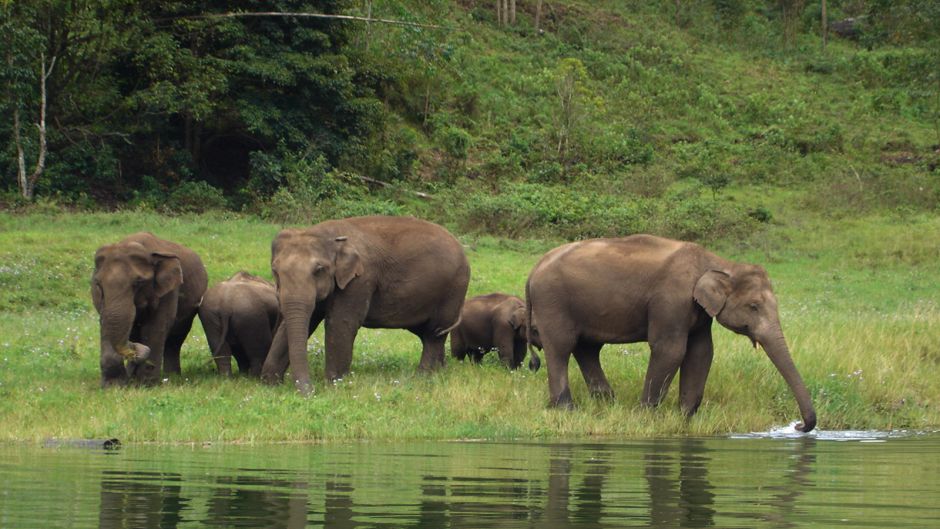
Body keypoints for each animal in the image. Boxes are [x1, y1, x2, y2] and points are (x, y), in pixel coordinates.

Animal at [90, 233, 207, 386]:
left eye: (138, 283)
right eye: (98, 284)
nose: (133, 351)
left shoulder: (169, 290)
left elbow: (156, 327)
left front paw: (147, 384)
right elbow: (109, 324)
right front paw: (115, 385)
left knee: (175, 339)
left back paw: (171, 377)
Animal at [260, 213, 470, 392]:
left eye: (319, 270)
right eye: (275, 270)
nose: (310, 391)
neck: (330, 237)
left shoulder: (360, 279)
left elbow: (341, 323)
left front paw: (334, 386)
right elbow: (302, 321)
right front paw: (270, 384)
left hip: (453, 289)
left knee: (434, 333)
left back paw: (422, 377)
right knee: (427, 333)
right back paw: (439, 371)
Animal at [528, 233, 816, 432]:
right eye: (754, 306)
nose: (798, 426)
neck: (717, 262)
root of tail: (533, 269)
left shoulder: (698, 311)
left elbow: (701, 352)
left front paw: (685, 417)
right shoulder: (671, 299)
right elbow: (671, 350)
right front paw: (645, 416)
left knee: (587, 348)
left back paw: (606, 403)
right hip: (552, 301)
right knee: (562, 347)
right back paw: (567, 408)